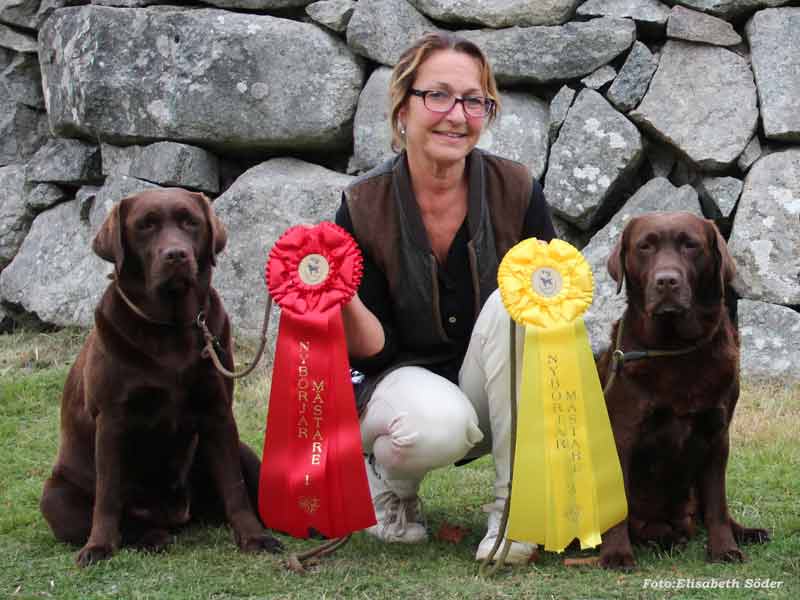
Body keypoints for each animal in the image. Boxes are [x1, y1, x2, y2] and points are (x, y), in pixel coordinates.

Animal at [42, 189, 284, 568]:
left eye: (190, 222)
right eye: (145, 225)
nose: (177, 255)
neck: (172, 329)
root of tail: (177, 516)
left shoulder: (218, 413)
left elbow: (235, 488)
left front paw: (254, 537)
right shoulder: (111, 419)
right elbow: (107, 496)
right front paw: (99, 546)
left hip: (241, 451)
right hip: (55, 496)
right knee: (116, 518)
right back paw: (151, 537)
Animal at [596, 213, 764, 568]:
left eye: (691, 245)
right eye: (645, 246)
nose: (666, 281)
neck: (674, 349)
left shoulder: (717, 435)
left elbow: (717, 504)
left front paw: (724, 549)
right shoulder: (622, 433)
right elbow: (618, 506)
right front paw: (616, 554)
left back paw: (744, 532)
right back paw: (664, 538)